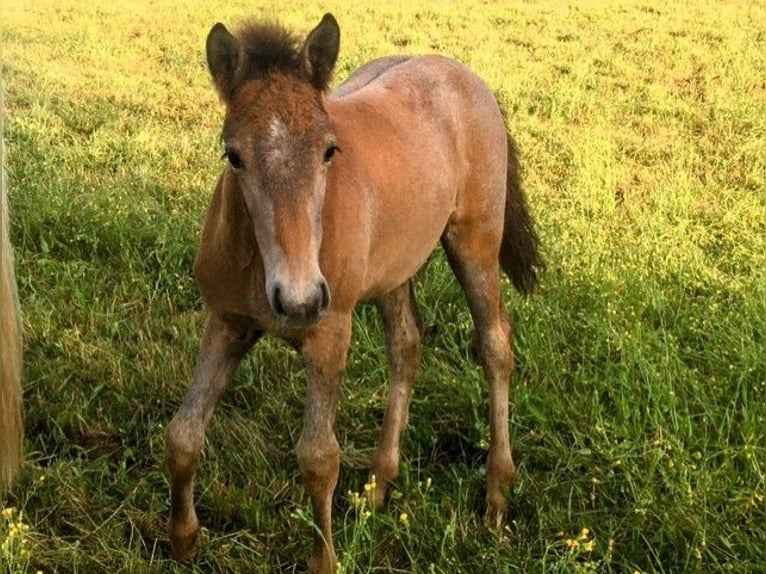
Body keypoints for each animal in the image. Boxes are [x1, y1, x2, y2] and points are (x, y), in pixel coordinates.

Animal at [165, 14, 544, 574]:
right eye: (233, 155)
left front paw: (324, 560)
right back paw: (380, 485)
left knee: (496, 342)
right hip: (394, 268)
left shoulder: (330, 332)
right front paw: (185, 540)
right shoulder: (228, 322)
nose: (298, 300)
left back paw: (496, 496)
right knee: (406, 346)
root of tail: (464, 75)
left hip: (474, 242)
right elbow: (183, 435)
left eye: (329, 149)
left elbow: (319, 458)